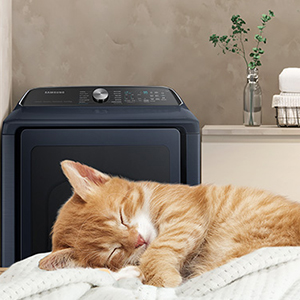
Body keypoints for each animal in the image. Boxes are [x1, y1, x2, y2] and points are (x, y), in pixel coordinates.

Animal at [38, 161, 300, 288]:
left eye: (122, 217)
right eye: (114, 251)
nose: (139, 241)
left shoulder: (186, 216)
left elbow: (159, 249)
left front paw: (159, 277)